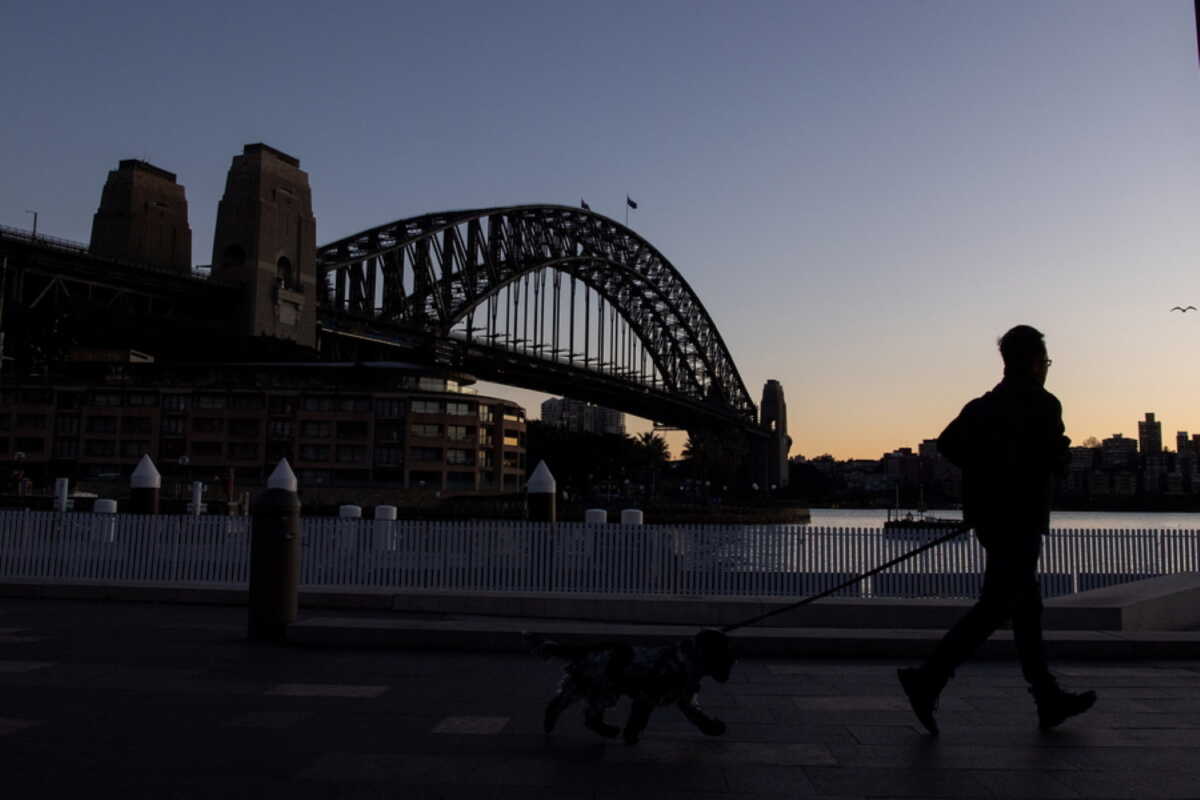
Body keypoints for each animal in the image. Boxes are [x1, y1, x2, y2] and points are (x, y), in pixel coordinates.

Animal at [523, 628, 734, 748]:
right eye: (724, 654)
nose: (732, 665)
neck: (688, 659)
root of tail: (588, 648)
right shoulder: (647, 696)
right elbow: (637, 719)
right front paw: (630, 737)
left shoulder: (686, 700)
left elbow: (700, 718)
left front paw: (715, 728)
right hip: (605, 690)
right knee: (590, 716)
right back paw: (609, 731)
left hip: (580, 684)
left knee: (558, 703)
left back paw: (549, 724)